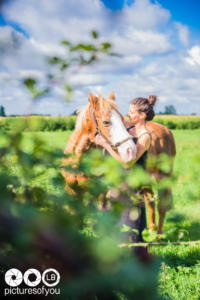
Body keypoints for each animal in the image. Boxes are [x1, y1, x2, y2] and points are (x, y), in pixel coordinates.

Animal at [61, 91, 176, 234]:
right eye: (106, 122)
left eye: (122, 119)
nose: (130, 150)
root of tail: (166, 130)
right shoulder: (72, 190)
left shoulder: (102, 192)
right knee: (150, 200)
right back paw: (150, 232)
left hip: (163, 176)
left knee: (162, 206)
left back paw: (158, 237)